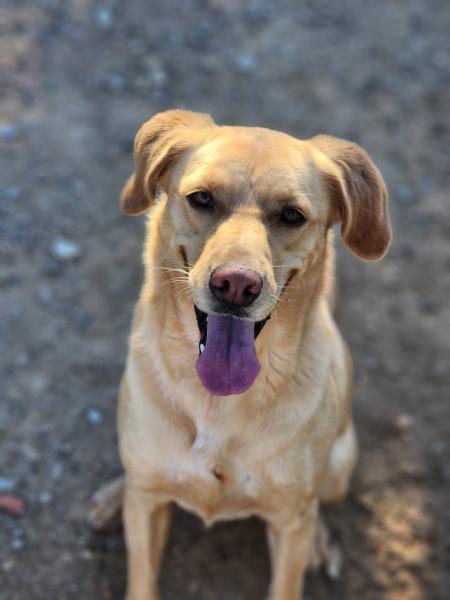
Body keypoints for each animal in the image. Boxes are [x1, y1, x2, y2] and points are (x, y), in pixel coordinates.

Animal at [89, 109, 391, 599]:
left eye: (292, 215)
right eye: (202, 199)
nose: (236, 285)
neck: (218, 403)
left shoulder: (289, 524)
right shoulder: (148, 508)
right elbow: (142, 575)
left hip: (339, 466)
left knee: (318, 502)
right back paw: (116, 495)